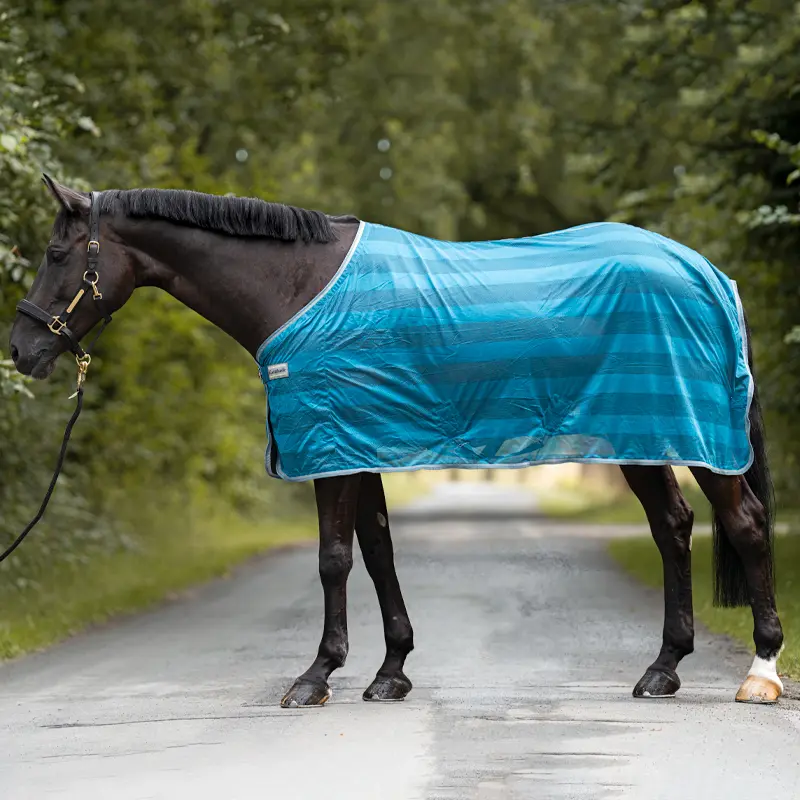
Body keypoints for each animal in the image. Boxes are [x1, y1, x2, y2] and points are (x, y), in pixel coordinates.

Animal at [9, 175, 784, 707]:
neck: (298, 288)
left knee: (743, 523)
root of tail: (709, 273)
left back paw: (761, 672)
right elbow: (378, 552)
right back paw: (662, 668)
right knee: (673, 528)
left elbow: (333, 560)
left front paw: (316, 676)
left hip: (691, 435)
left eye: (55, 251)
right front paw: (390, 672)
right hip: (641, 436)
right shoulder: (362, 446)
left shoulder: (330, 448)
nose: (20, 350)